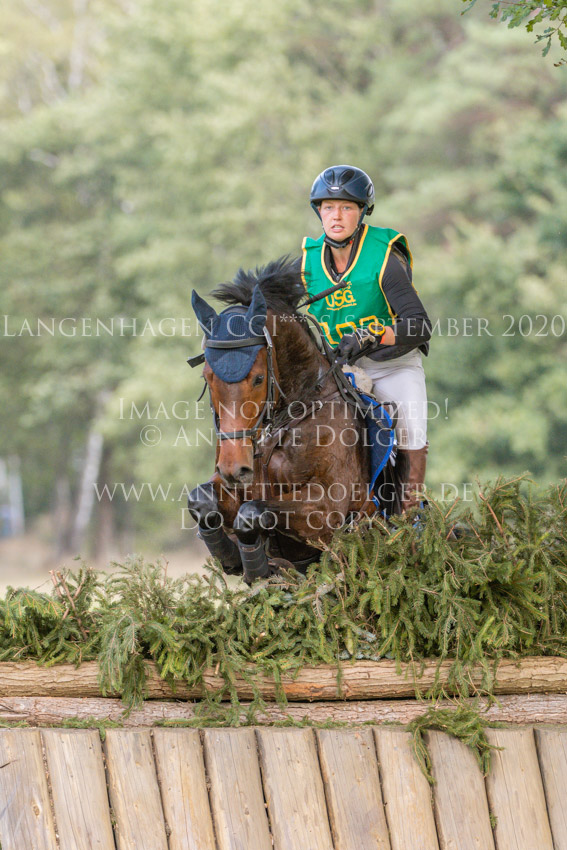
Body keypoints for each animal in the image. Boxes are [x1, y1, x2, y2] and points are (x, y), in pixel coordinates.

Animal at [187, 257, 397, 583]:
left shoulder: (326, 512)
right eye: (207, 377)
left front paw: (255, 564)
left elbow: (252, 512)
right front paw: (234, 558)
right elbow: (201, 499)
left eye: (258, 378)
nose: (234, 469)